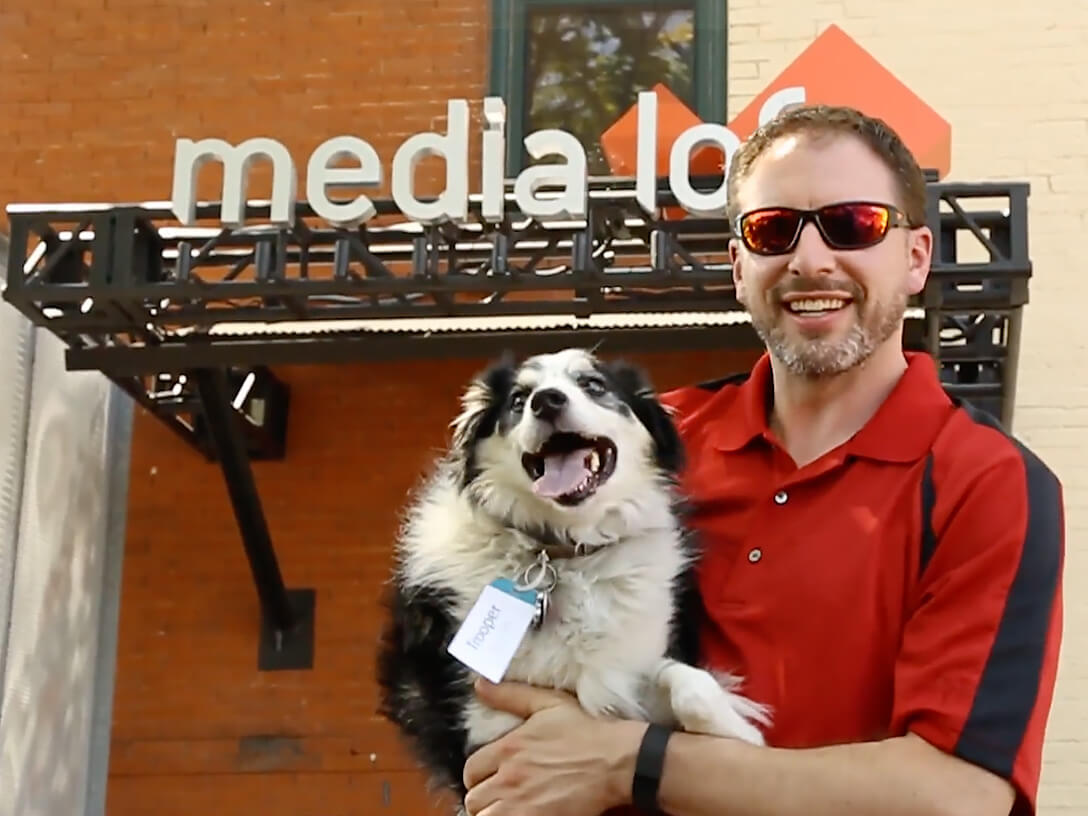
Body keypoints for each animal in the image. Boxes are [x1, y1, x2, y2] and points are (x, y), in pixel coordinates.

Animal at [378, 348, 770, 809]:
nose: (546, 401)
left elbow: (689, 684)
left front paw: (739, 733)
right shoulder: (485, 727)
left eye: (593, 385)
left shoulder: (631, 671)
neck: (562, 553)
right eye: (518, 399)